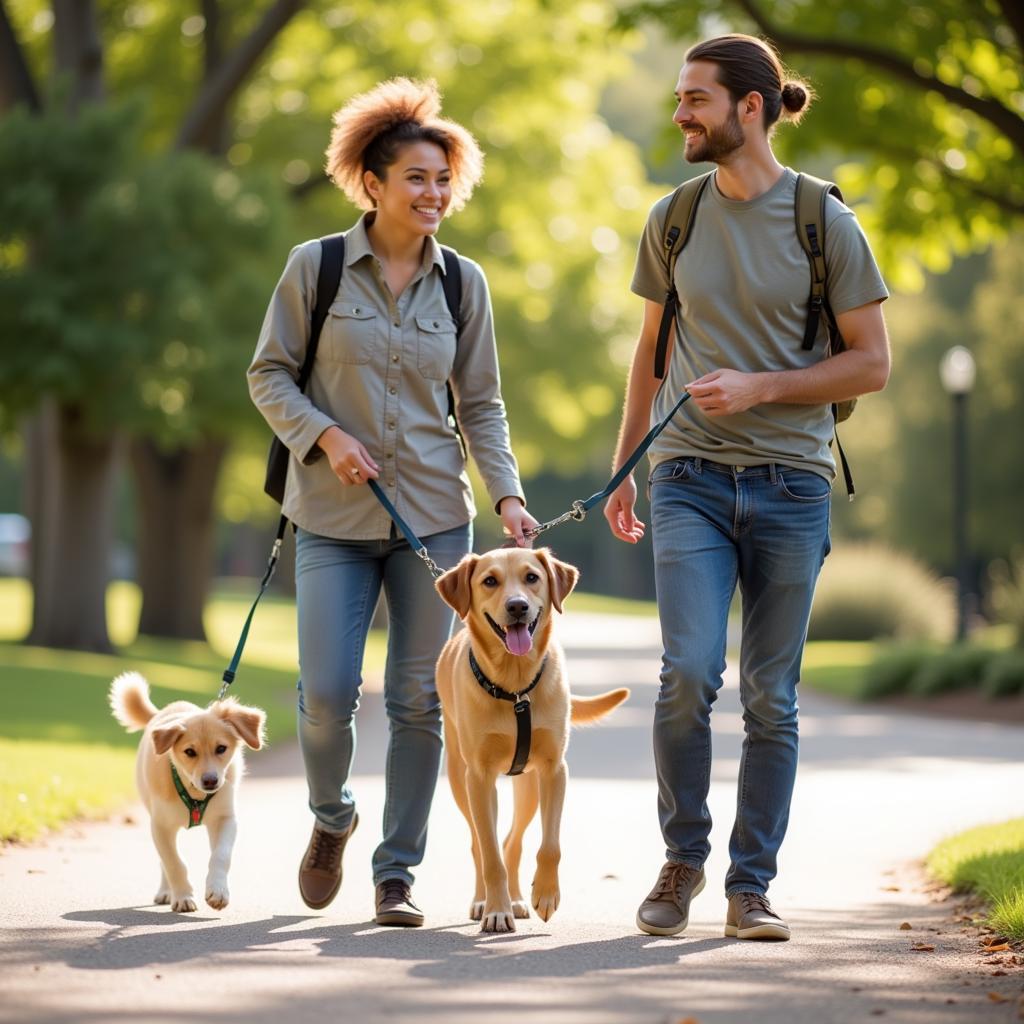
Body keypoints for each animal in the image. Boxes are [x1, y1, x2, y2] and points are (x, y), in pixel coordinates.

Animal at [110, 671, 266, 913]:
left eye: (221, 748)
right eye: (190, 752)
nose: (210, 781)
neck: (194, 794)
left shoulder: (225, 819)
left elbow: (221, 856)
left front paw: (218, 891)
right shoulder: (161, 826)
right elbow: (174, 862)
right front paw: (183, 896)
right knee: (163, 861)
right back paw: (166, 891)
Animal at [434, 548, 626, 933]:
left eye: (532, 577)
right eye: (489, 580)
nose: (518, 606)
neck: (515, 686)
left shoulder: (554, 769)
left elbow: (549, 846)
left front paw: (546, 895)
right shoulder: (479, 777)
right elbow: (489, 853)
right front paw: (496, 910)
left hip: (528, 787)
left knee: (513, 841)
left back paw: (518, 897)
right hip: (460, 778)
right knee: (480, 842)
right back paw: (485, 900)